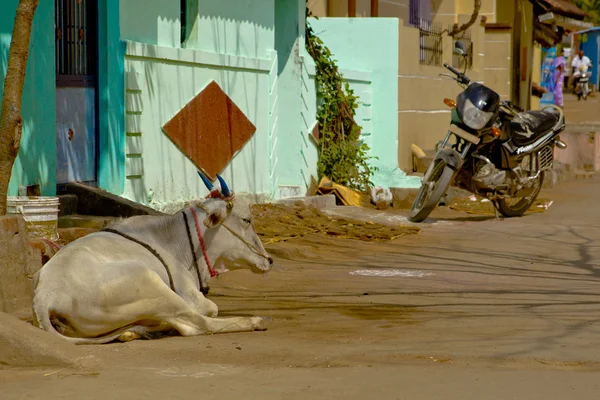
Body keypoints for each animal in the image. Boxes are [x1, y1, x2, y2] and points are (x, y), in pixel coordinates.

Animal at [34, 174, 274, 344]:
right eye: (247, 220)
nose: (269, 260)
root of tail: (45, 295)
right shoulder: (189, 293)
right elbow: (210, 309)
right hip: (150, 281)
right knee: (197, 324)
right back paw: (256, 321)